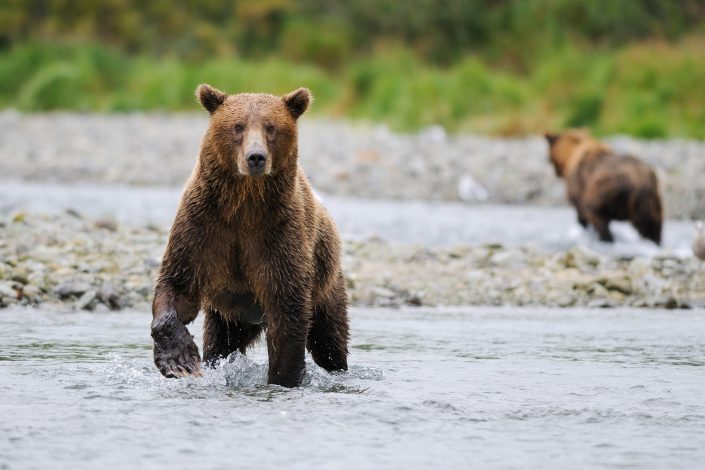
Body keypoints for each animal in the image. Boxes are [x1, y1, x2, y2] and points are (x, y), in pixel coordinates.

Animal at [151, 83, 350, 386]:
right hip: (228, 317)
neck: (243, 206)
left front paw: (284, 378)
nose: (256, 157)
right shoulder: (203, 226)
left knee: (329, 339)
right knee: (219, 342)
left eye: (271, 127)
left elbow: (288, 313)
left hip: (326, 285)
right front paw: (180, 360)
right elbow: (177, 286)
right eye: (238, 126)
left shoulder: (278, 235)